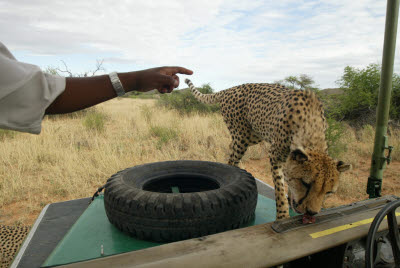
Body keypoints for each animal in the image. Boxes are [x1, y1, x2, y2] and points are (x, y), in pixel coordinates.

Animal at [184, 79, 350, 220]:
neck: (311, 129)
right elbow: (279, 188)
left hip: (253, 135)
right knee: (232, 157)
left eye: (329, 192)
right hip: (243, 136)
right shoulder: (275, 156)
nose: (312, 212)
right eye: (306, 183)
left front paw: (291, 198)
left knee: (232, 147)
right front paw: (283, 215)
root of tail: (230, 89)